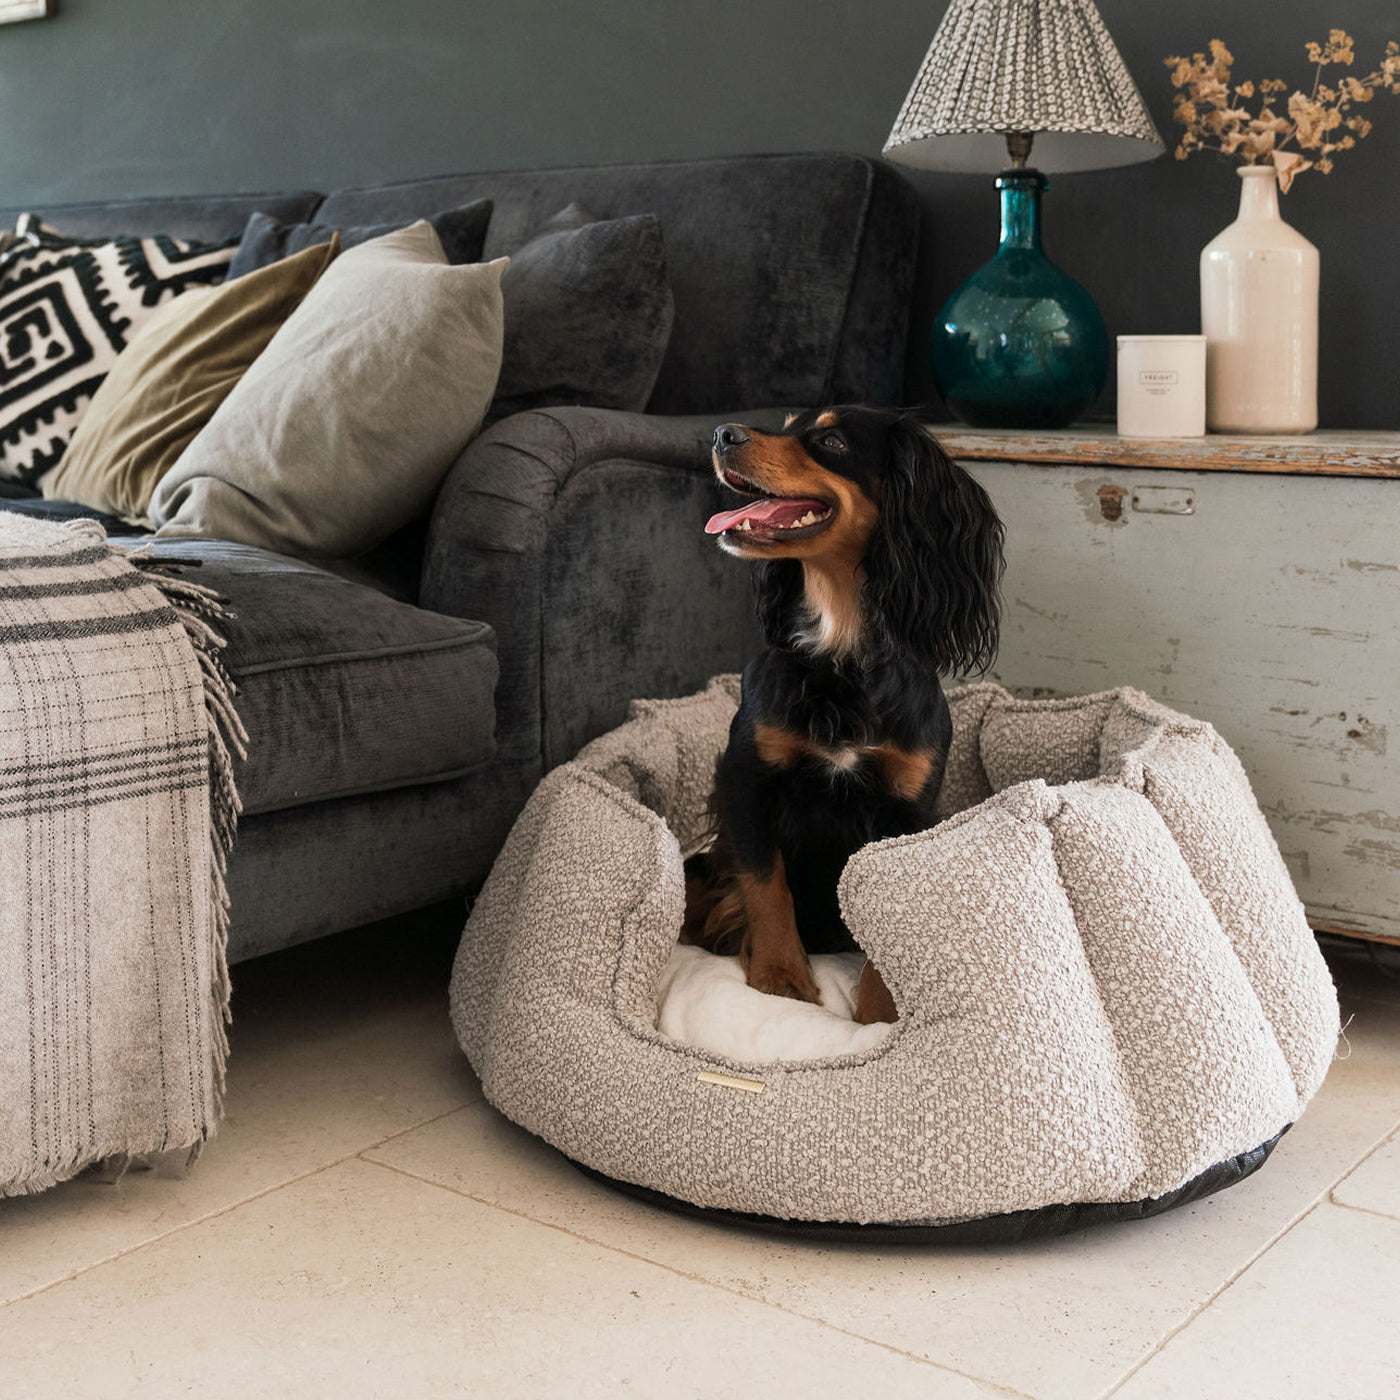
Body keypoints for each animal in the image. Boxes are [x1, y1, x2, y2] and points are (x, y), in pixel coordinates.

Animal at [680, 406, 1002, 1030]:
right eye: (786, 424)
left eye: (830, 440)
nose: (723, 434)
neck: (839, 650)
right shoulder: (748, 781)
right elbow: (766, 884)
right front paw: (780, 978)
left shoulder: (906, 808)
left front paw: (880, 1015)